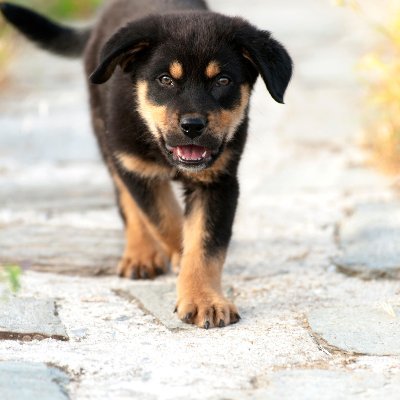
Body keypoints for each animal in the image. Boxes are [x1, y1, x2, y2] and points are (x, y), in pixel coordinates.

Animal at [1, 0, 292, 328]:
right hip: (109, 144)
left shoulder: (219, 181)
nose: (192, 126)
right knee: (128, 203)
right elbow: (163, 219)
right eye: (165, 80)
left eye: (223, 80)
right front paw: (180, 260)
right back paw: (140, 254)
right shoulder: (134, 167)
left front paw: (204, 299)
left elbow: (204, 244)